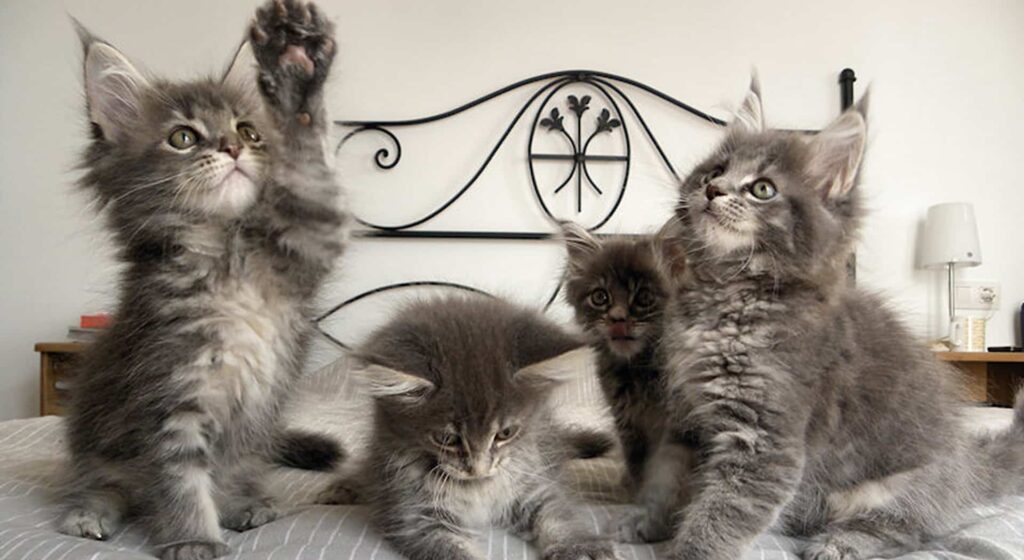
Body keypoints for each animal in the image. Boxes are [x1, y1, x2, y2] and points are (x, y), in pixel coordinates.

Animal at [60, 2, 348, 556]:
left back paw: (246, 500)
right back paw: (88, 513)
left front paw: (298, 74)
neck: (226, 251)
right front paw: (194, 537)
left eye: (251, 131)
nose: (234, 146)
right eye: (183, 137)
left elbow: (311, 161)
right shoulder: (168, 386)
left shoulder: (310, 242)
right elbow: (180, 476)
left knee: (240, 465)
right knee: (100, 479)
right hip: (93, 427)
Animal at [323, 294, 618, 560]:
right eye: (446, 439)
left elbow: (559, 516)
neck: (478, 489)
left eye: (505, 433)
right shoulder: (416, 515)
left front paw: (579, 548)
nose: (478, 469)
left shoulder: (536, 483)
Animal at [618, 79, 1024, 560]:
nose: (713, 190)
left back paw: (841, 542)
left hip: (900, 486)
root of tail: (968, 465)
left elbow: (721, 515)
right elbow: (666, 478)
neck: (726, 294)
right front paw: (645, 524)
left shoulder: (766, 442)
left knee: (911, 529)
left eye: (762, 189)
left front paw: (687, 550)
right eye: (714, 170)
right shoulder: (686, 416)